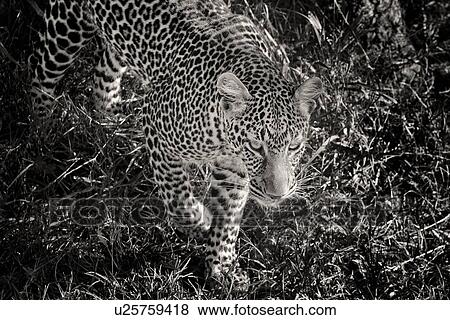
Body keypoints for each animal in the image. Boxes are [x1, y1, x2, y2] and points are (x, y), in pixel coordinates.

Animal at [29, 0, 324, 286]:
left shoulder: (234, 168)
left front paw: (223, 268)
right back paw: (41, 133)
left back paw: (109, 121)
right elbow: (177, 195)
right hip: (66, 27)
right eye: (255, 146)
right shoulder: (156, 125)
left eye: (294, 146)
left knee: (105, 68)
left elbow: (228, 216)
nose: (278, 195)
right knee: (41, 74)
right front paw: (201, 223)